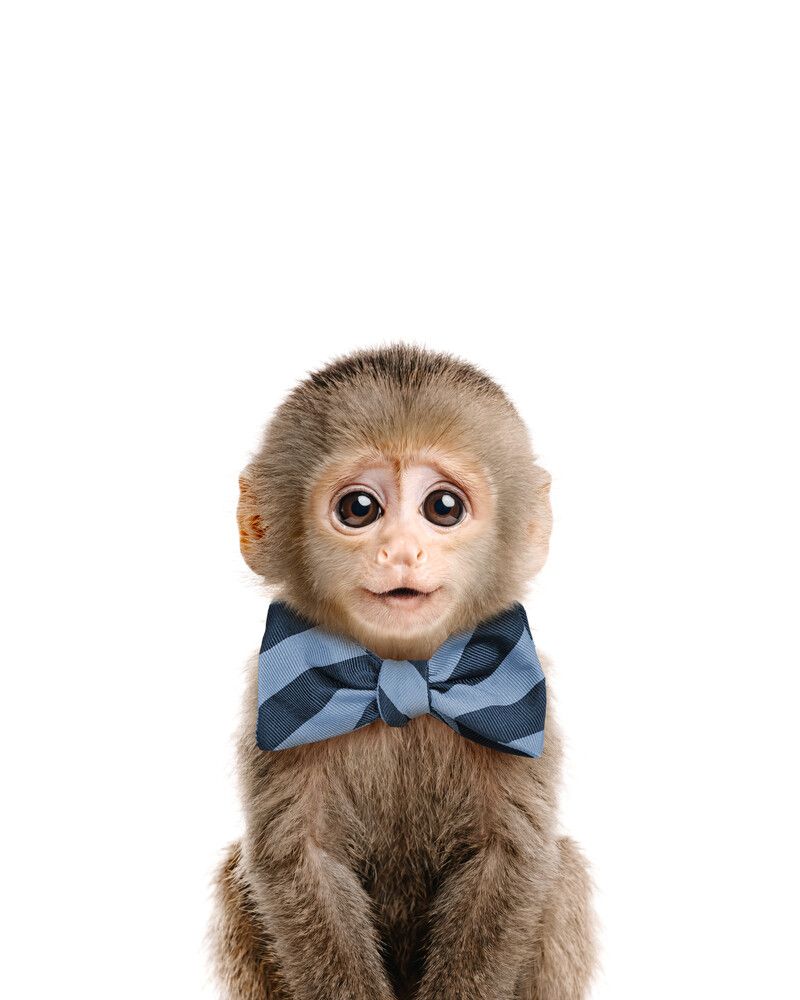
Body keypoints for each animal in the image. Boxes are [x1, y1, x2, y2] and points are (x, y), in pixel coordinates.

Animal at [208, 342, 598, 1000]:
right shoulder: (272, 696)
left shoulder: (523, 690)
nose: (400, 551)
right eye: (359, 509)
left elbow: (511, 859)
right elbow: (299, 861)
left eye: (443, 507)